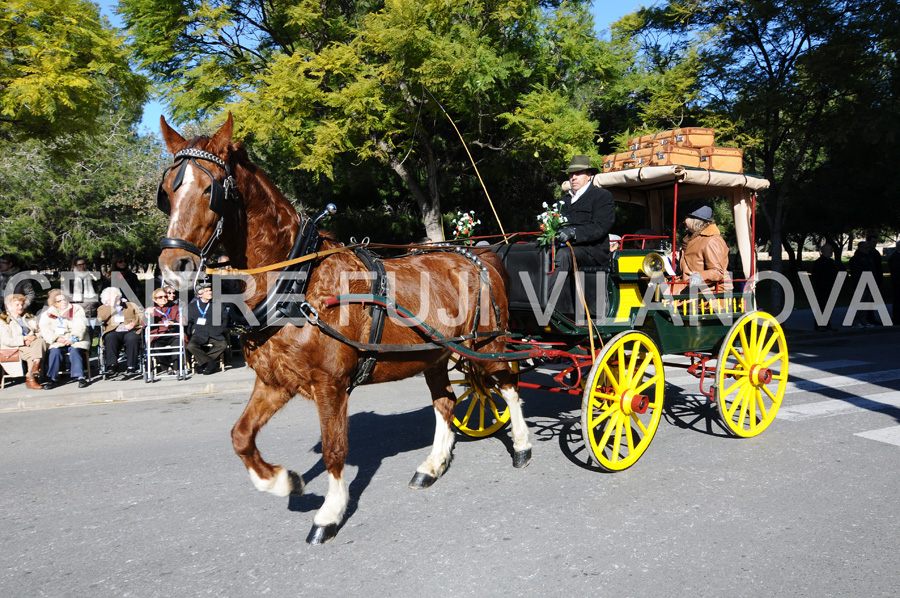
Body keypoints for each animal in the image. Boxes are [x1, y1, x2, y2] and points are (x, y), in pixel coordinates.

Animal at [157, 115, 532, 548]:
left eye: (211, 189)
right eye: (168, 192)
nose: (173, 265)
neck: (298, 281)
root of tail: (476, 253)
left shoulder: (330, 385)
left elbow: (335, 450)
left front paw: (329, 514)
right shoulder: (274, 381)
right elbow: (241, 436)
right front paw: (284, 481)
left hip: (487, 344)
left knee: (507, 385)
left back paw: (522, 445)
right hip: (435, 354)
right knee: (446, 402)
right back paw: (432, 465)